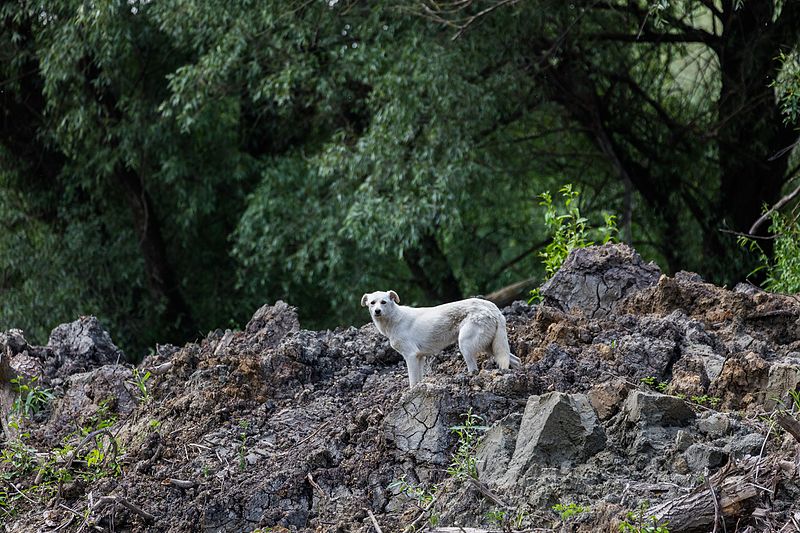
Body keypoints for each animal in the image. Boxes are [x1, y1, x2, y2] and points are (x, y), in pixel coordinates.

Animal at [360, 290, 520, 386]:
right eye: (372, 303)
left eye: (384, 302)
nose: (377, 311)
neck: (394, 320)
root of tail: (493, 308)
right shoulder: (419, 357)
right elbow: (419, 379)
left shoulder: (411, 356)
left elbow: (413, 381)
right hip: (491, 346)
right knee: (515, 360)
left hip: (466, 345)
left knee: (474, 369)